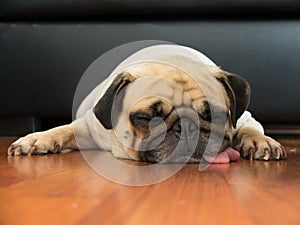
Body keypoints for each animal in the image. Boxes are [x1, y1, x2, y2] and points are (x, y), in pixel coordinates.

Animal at [7, 44, 288, 163]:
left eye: (215, 116)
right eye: (145, 119)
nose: (187, 127)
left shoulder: (246, 117)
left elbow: (249, 129)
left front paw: (260, 142)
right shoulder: (90, 127)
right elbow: (62, 130)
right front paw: (37, 139)